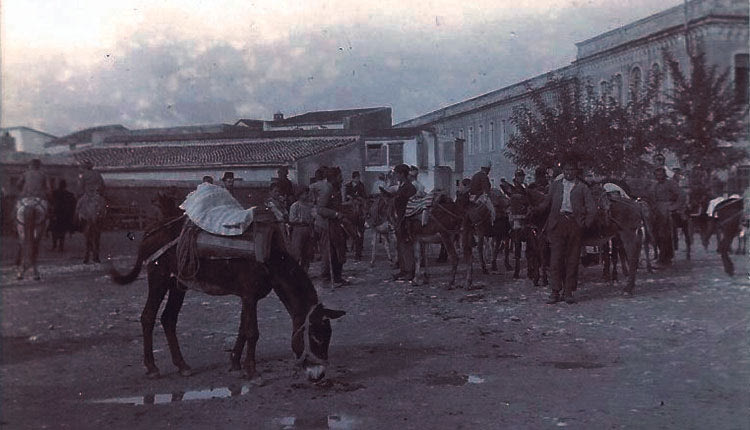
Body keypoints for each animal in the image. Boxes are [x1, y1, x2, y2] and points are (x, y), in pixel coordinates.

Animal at [106, 215, 346, 382]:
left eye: (328, 337)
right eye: (315, 338)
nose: (319, 374)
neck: (268, 261)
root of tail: (151, 230)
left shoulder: (248, 297)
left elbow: (242, 328)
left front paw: (235, 364)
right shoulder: (249, 295)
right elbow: (252, 332)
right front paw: (252, 371)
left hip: (178, 284)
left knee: (168, 319)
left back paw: (182, 366)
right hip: (159, 278)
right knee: (148, 317)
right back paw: (152, 368)